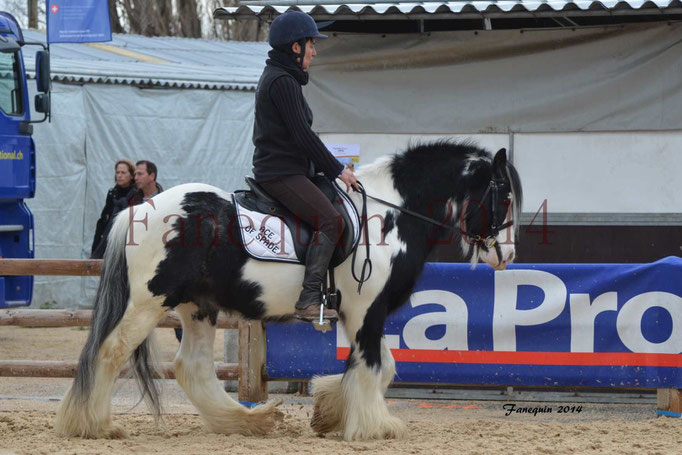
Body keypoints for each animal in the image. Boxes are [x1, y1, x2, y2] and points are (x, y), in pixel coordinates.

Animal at [55, 142, 520, 442]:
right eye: (505, 196)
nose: (508, 255)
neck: (387, 215)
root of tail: (138, 210)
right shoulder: (366, 311)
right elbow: (373, 366)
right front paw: (373, 426)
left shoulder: (359, 315)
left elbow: (381, 365)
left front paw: (330, 413)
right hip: (148, 303)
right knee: (109, 353)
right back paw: (93, 425)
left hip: (197, 306)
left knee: (192, 368)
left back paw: (249, 422)